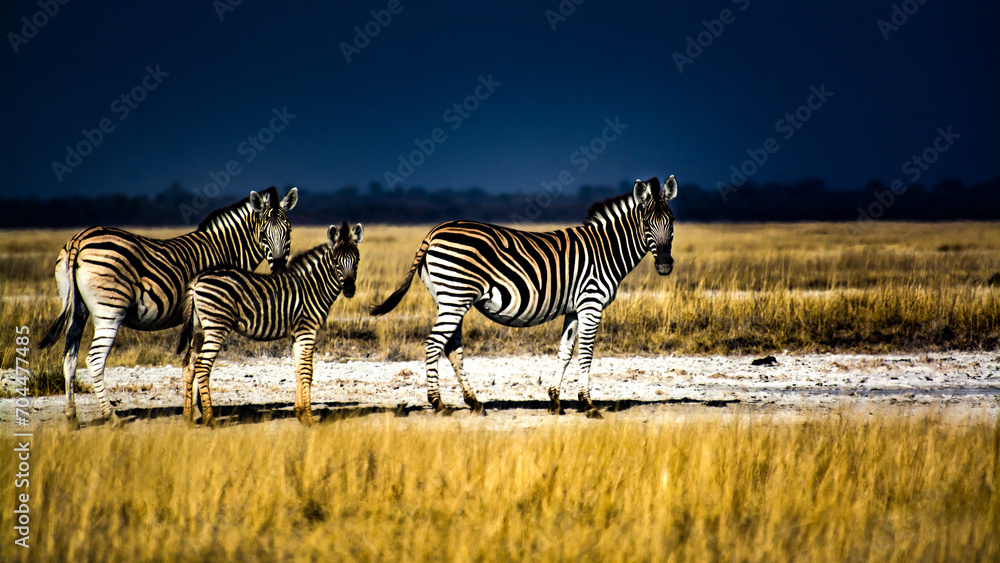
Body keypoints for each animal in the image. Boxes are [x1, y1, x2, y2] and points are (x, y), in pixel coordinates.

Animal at [38, 186, 299, 428]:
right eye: (263, 234)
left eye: (288, 231)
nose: (279, 269)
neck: (225, 250)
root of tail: (79, 240)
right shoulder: (206, 315)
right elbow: (195, 362)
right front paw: (198, 411)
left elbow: (193, 362)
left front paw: (195, 410)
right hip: (109, 311)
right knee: (94, 360)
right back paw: (112, 417)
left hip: (76, 311)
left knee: (69, 358)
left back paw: (72, 417)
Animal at [177, 221, 364, 427]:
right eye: (336, 261)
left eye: (357, 260)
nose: (349, 289)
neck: (314, 287)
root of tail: (197, 280)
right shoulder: (307, 330)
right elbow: (307, 370)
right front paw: (309, 418)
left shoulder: (297, 334)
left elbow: (298, 369)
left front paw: (300, 412)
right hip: (216, 326)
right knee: (203, 366)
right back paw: (210, 420)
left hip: (199, 329)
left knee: (189, 365)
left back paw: (187, 418)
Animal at [371, 176, 677, 418]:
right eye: (646, 223)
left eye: (672, 223)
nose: (664, 265)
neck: (607, 250)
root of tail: (433, 232)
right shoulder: (591, 303)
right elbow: (587, 354)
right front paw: (588, 405)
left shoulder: (574, 308)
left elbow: (565, 352)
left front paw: (555, 401)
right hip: (456, 298)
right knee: (434, 344)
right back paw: (438, 404)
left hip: (449, 299)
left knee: (451, 348)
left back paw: (474, 402)